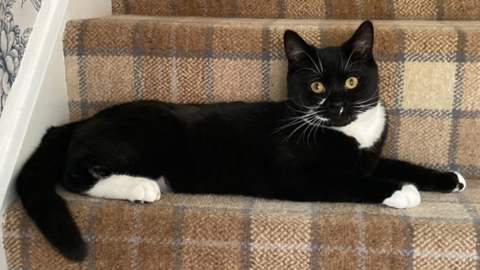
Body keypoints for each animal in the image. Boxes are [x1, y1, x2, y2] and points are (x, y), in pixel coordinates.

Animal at [15, 21, 464, 262]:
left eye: (353, 82)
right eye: (317, 86)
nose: (336, 104)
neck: (347, 130)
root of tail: (77, 122)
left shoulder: (370, 155)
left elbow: (398, 164)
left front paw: (447, 179)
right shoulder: (299, 178)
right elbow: (354, 182)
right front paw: (402, 192)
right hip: (146, 133)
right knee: (76, 176)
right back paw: (141, 187)